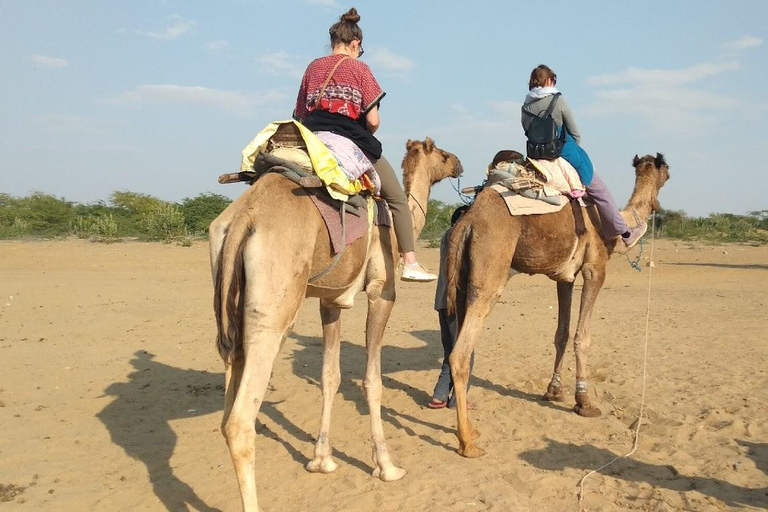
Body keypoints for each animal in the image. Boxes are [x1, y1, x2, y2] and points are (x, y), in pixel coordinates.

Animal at [206, 137, 462, 512]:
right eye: (443, 155)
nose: (459, 164)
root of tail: (244, 218)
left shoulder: (330, 301)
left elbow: (330, 376)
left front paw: (321, 460)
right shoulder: (382, 292)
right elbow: (372, 381)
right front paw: (387, 466)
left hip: (231, 306)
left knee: (227, 407)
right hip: (273, 308)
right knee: (239, 421)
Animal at [448, 151, 668, 456]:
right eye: (666, 170)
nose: (666, 180)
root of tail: (467, 222)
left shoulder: (564, 277)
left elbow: (561, 333)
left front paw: (554, 391)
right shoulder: (595, 269)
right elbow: (582, 337)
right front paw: (584, 401)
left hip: (462, 277)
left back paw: (471, 431)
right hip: (490, 270)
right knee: (459, 354)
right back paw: (468, 443)